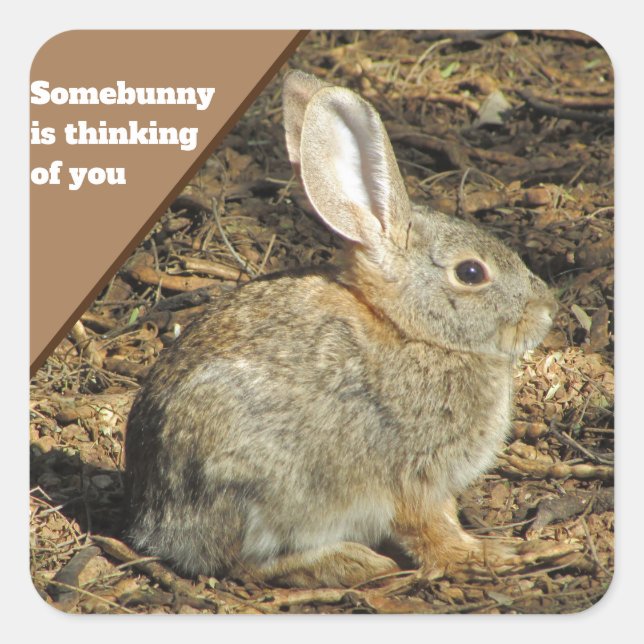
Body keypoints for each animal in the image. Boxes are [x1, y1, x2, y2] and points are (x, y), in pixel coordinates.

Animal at [123, 70, 557, 588]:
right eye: (471, 273)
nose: (547, 309)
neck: (412, 332)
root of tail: (156, 523)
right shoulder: (414, 476)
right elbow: (432, 528)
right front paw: (486, 554)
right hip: (265, 488)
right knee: (243, 565)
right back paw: (352, 561)